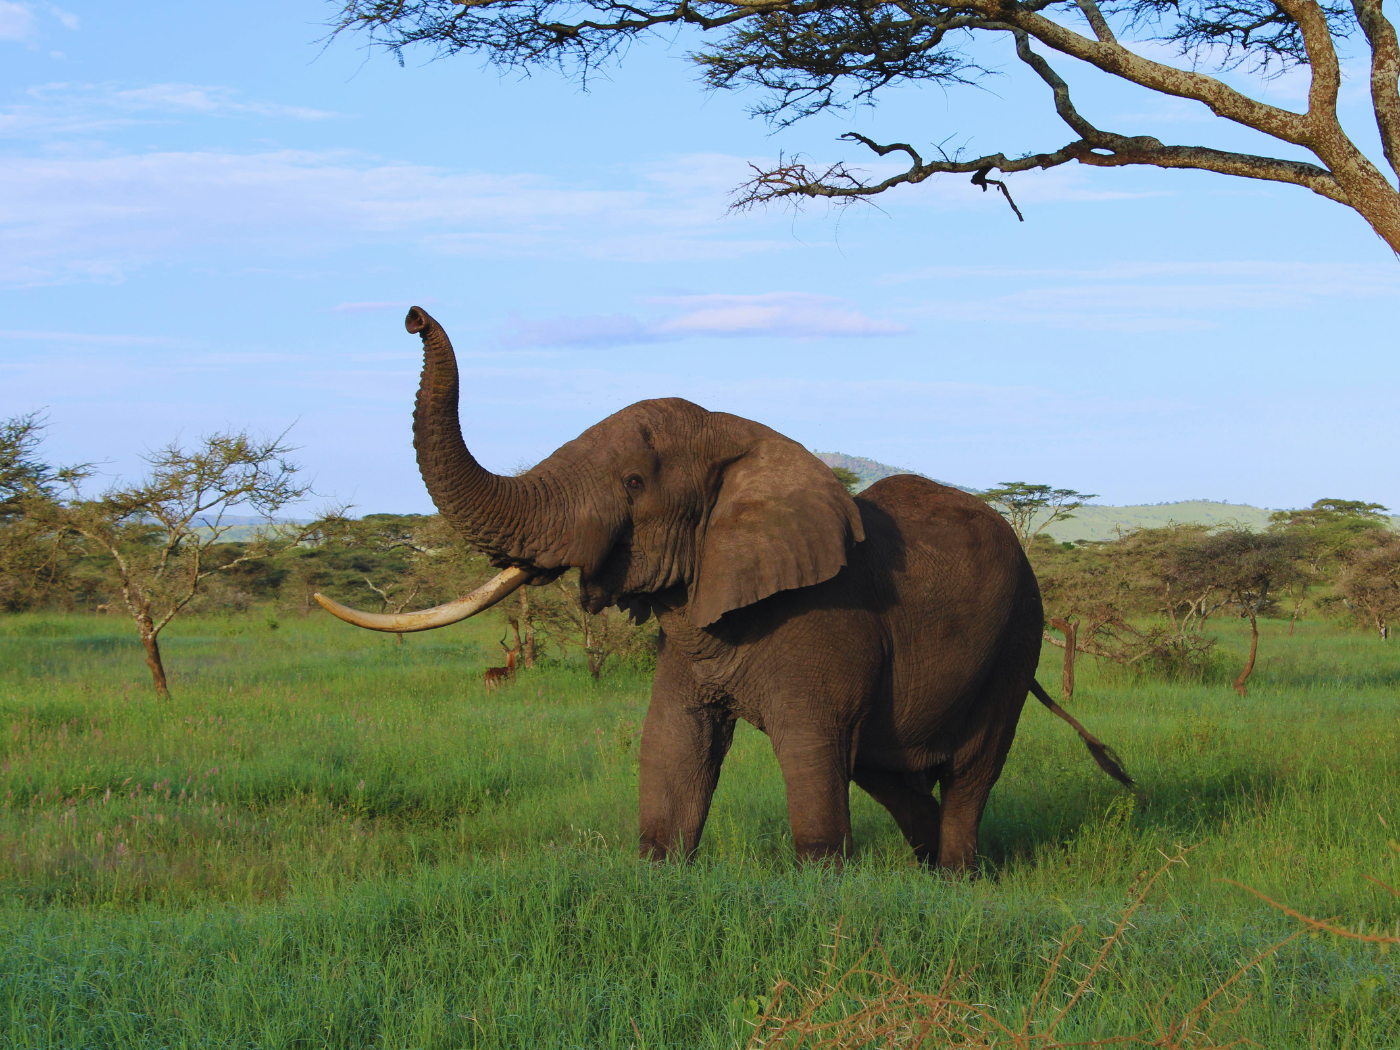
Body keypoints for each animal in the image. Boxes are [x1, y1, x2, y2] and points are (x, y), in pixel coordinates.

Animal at [317, 307, 1132, 870]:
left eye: (634, 483)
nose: (413, 315)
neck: (739, 437)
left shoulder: (826, 621)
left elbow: (811, 760)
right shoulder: (691, 626)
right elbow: (673, 751)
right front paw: (659, 873)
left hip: (1017, 635)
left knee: (968, 770)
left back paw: (958, 877)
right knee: (885, 768)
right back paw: (928, 872)